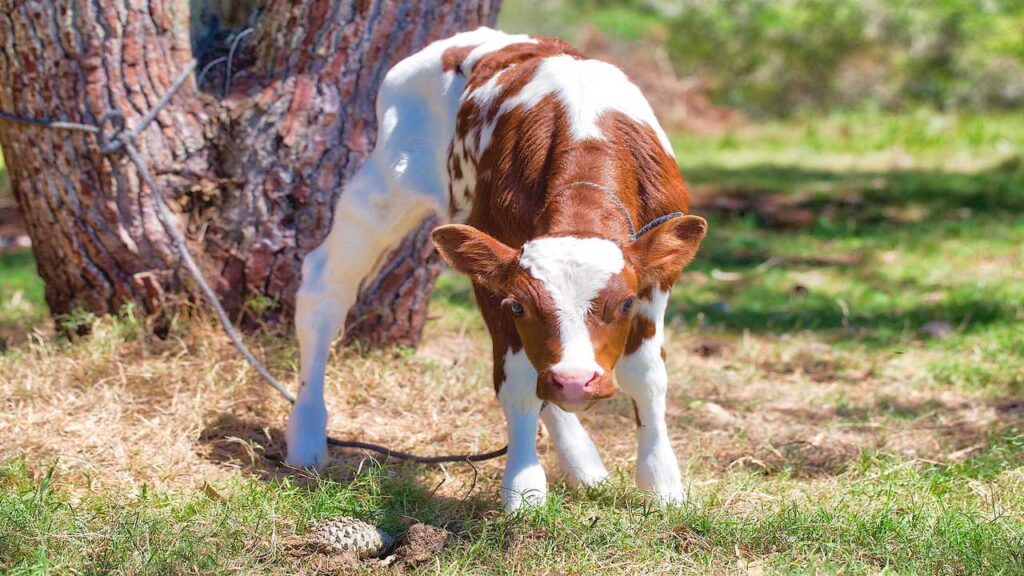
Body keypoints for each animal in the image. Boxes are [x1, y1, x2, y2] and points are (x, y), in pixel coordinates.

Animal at [284, 29, 708, 508]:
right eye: (521, 306)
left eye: (625, 304)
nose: (575, 382)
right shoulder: (494, 283)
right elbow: (518, 383)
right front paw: (524, 490)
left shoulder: (657, 281)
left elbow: (647, 376)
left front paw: (662, 484)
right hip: (384, 186)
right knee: (324, 286)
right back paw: (306, 434)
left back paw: (583, 463)